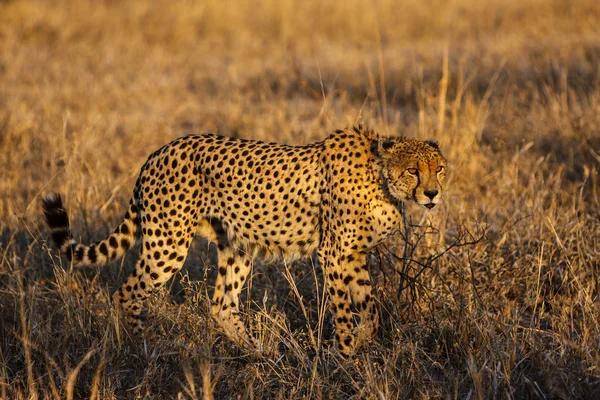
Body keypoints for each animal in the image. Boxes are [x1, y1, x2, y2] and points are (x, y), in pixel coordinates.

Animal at [42, 126, 446, 354]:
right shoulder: (334, 253)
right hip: (168, 242)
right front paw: (346, 356)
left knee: (221, 304)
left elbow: (371, 309)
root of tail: (158, 152)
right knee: (128, 293)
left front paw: (362, 346)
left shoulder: (353, 254)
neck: (382, 178)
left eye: (439, 168)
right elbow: (344, 311)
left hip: (237, 244)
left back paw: (260, 352)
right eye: (413, 170)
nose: (432, 194)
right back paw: (141, 348)